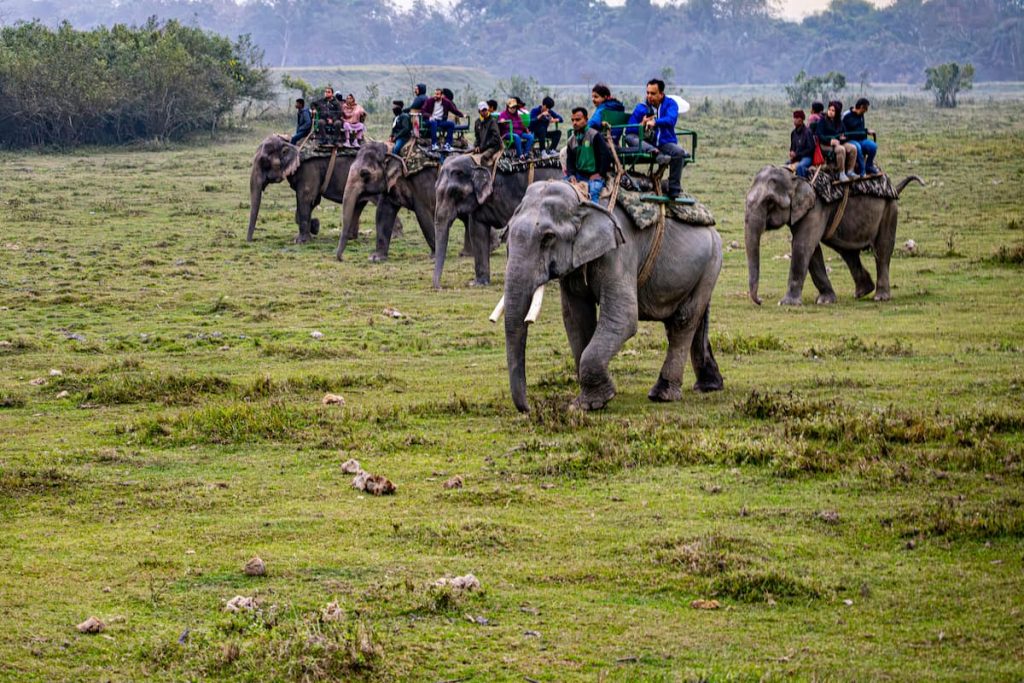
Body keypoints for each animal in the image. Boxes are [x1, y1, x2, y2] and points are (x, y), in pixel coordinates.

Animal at [247, 134, 395, 244]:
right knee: (358, 205)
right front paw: (315, 227)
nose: (250, 241)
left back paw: (394, 236)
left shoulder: (308, 168)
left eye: (264, 161)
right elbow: (314, 200)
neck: (290, 141)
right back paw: (351, 238)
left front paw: (301, 241)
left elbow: (306, 197)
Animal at [433, 154, 563, 289]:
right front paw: (478, 284)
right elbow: (477, 231)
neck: (479, 162)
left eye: (453, 192)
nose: (441, 288)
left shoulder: (514, 193)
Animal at [498, 180, 724, 413]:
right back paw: (709, 386)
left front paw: (592, 403)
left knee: (683, 321)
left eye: (548, 237)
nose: (528, 409)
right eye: (506, 235)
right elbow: (576, 318)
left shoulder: (619, 251)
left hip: (712, 261)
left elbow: (623, 317)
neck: (583, 198)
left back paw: (662, 395)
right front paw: (590, 401)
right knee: (692, 320)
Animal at [744, 165, 923, 305]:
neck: (793, 175)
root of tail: (893, 186)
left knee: (882, 250)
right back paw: (862, 292)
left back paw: (880, 297)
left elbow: (803, 245)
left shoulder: (816, 206)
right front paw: (826, 301)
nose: (760, 300)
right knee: (847, 251)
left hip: (889, 209)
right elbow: (811, 249)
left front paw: (787, 303)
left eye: (770, 202)